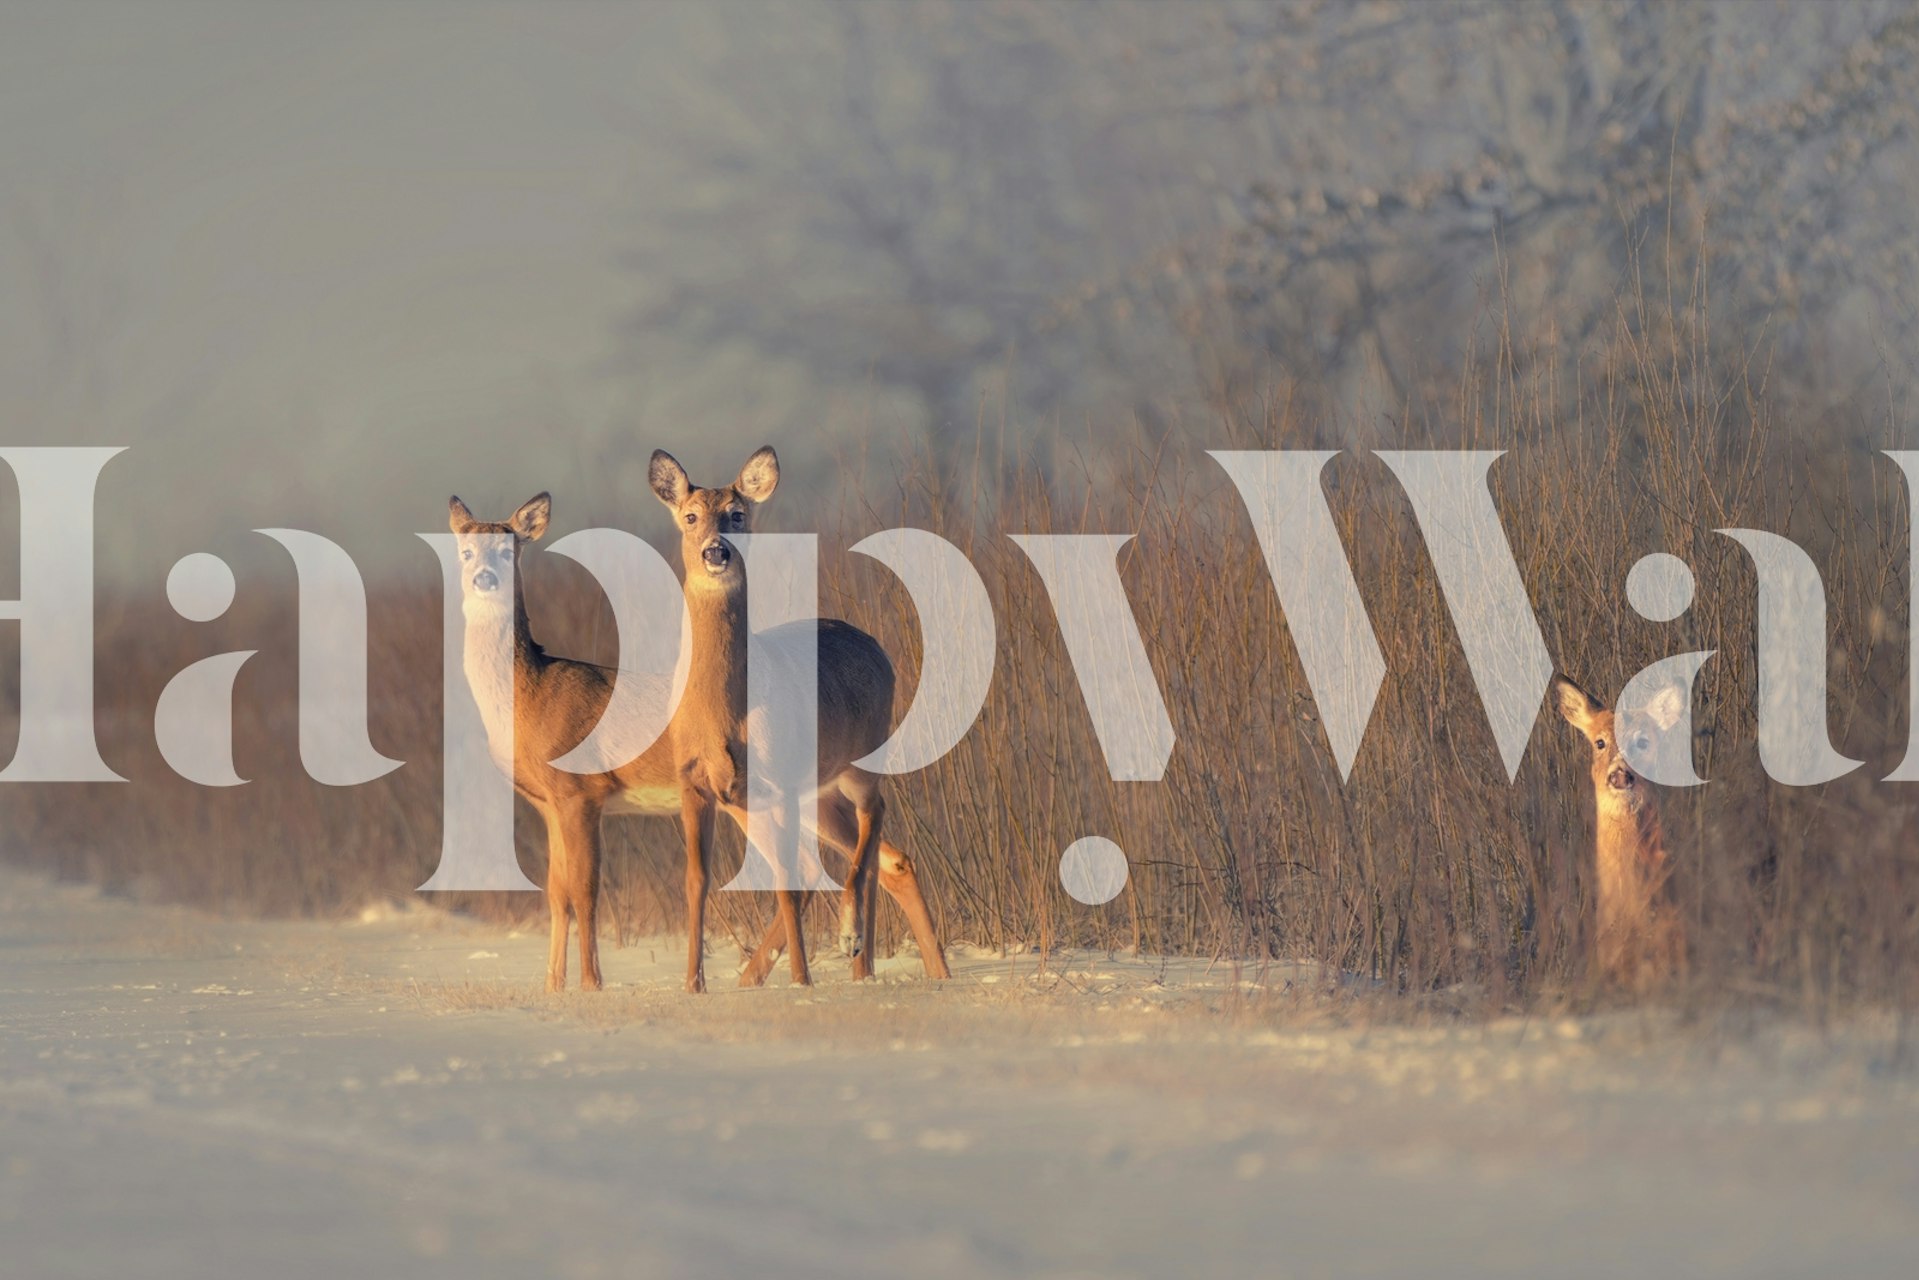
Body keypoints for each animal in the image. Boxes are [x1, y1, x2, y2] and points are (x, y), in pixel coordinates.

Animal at [447, 454, 949, 994]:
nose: (484, 578)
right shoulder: (547, 803)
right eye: (464, 550)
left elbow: (583, 890)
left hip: (833, 774)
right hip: (808, 791)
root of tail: (882, 652)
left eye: (508, 550)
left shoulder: (579, 792)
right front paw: (553, 989)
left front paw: (591, 985)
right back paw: (898, 970)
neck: (530, 695)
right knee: (874, 859)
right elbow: (556, 893)